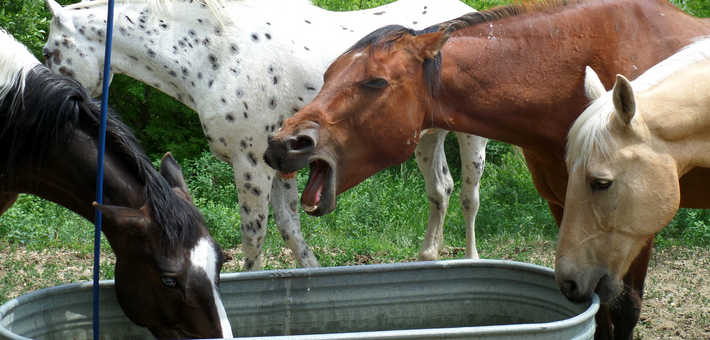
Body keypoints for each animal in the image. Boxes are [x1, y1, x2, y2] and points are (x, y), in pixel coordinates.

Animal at [43, 0, 490, 270]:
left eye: (49, 51)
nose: (58, 102)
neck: (217, 53)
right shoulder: (281, 164)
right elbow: (291, 231)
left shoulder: (252, 165)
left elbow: (254, 238)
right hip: (428, 137)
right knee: (441, 190)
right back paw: (428, 257)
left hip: (473, 140)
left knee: (469, 198)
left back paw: (471, 261)